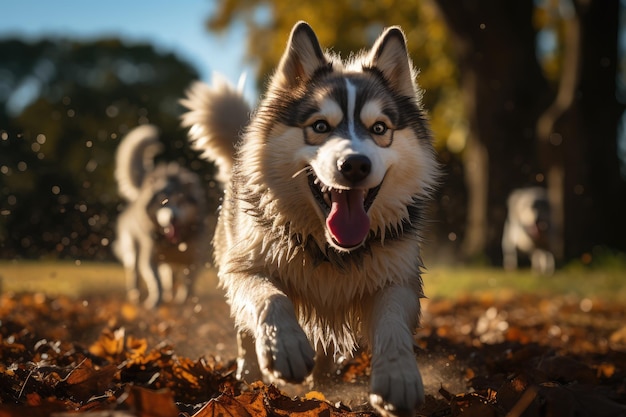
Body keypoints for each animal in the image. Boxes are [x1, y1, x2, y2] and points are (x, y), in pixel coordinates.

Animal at [113, 125, 208, 308]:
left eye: (180, 201)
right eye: (162, 202)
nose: (172, 218)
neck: (175, 243)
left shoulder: (194, 260)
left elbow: (187, 283)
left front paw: (184, 302)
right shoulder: (150, 259)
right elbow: (156, 283)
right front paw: (155, 303)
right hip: (133, 249)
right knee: (134, 273)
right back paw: (136, 295)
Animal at [180, 23, 436, 416]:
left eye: (379, 129)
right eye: (320, 126)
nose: (355, 165)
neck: (333, 249)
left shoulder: (398, 278)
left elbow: (392, 323)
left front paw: (398, 376)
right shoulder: (245, 267)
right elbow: (270, 297)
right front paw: (283, 347)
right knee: (244, 333)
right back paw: (247, 376)